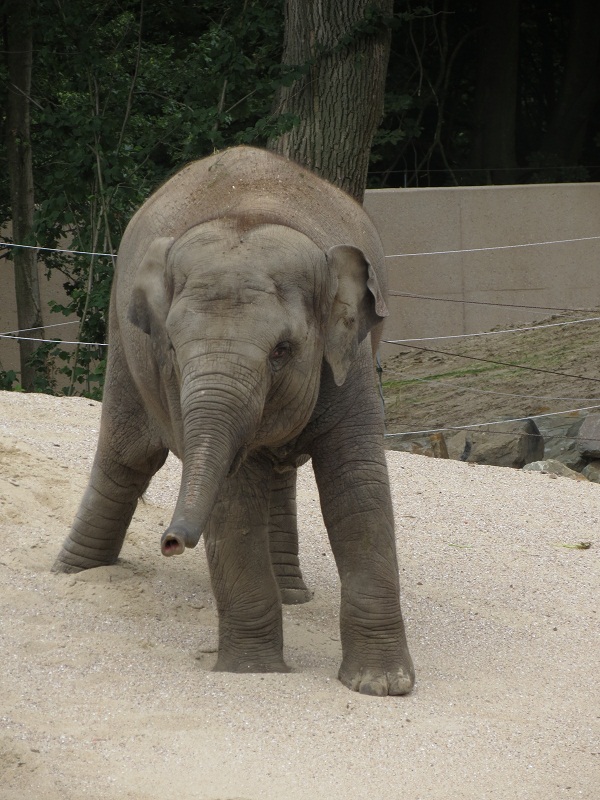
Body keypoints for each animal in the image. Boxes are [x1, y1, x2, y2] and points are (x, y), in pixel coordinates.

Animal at [54, 146, 415, 696]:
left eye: (283, 350)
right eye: (172, 347)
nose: (171, 541)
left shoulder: (349, 363)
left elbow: (357, 485)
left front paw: (382, 686)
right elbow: (234, 496)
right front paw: (254, 673)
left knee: (278, 470)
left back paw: (293, 596)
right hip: (121, 339)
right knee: (126, 456)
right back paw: (71, 574)